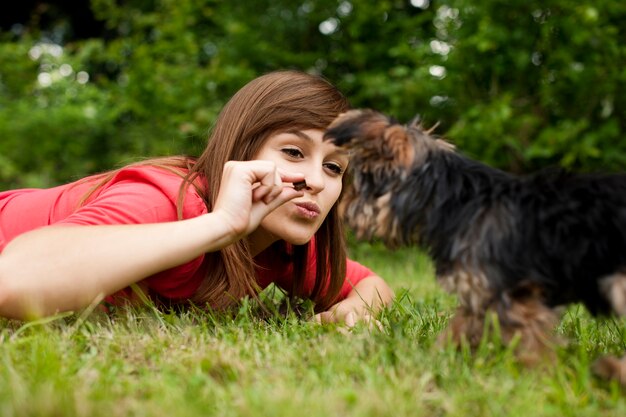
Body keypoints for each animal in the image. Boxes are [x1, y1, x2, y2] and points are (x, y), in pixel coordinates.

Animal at [324, 109, 624, 384]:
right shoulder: (479, 292)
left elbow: (530, 345)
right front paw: (437, 358)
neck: (452, 202)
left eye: (360, 183)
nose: (342, 208)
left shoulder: (513, 297)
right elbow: (459, 327)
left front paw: (540, 378)